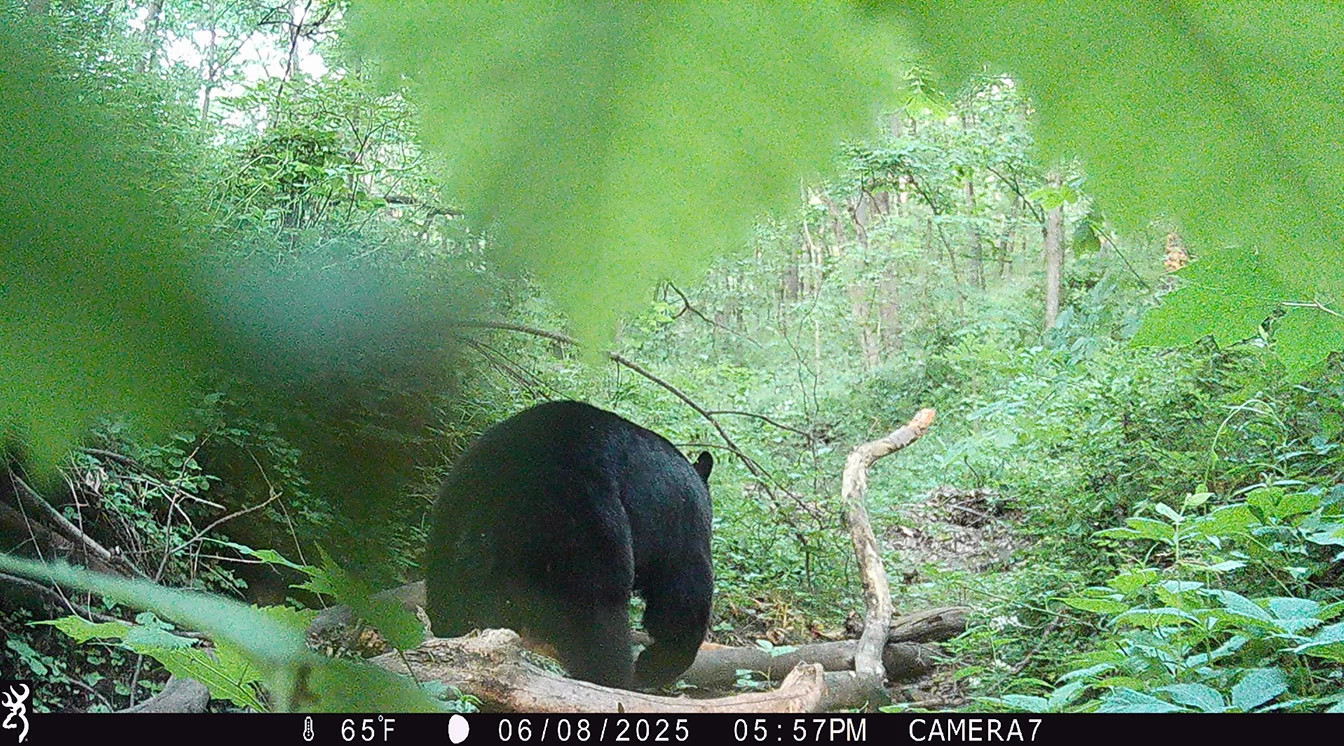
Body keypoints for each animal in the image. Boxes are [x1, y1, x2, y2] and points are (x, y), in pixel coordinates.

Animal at [425, 400, 714, 690]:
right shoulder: (681, 524)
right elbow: (683, 592)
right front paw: (654, 666)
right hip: (584, 526)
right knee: (598, 615)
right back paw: (613, 679)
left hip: (449, 534)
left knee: (450, 605)